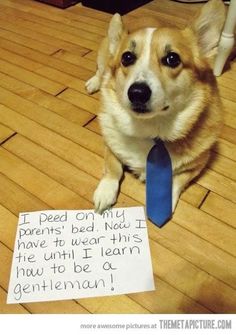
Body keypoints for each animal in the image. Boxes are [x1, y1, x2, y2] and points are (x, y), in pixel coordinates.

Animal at [85, 0, 226, 215]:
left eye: (172, 59)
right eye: (127, 57)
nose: (137, 93)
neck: (152, 128)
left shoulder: (197, 165)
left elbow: (176, 180)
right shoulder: (110, 144)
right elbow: (112, 166)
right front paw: (105, 192)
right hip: (104, 56)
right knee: (101, 70)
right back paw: (94, 83)